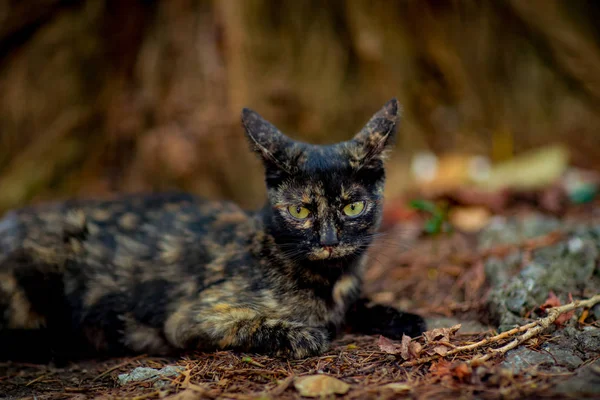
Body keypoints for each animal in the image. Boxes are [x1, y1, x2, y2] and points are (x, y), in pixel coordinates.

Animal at [0, 97, 426, 362]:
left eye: (353, 207)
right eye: (299, 210)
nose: (329, 241)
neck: (333, 279)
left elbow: (359, 306)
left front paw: (402, 317)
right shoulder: (192, 317)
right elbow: (263, 326)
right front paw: (305, 334)